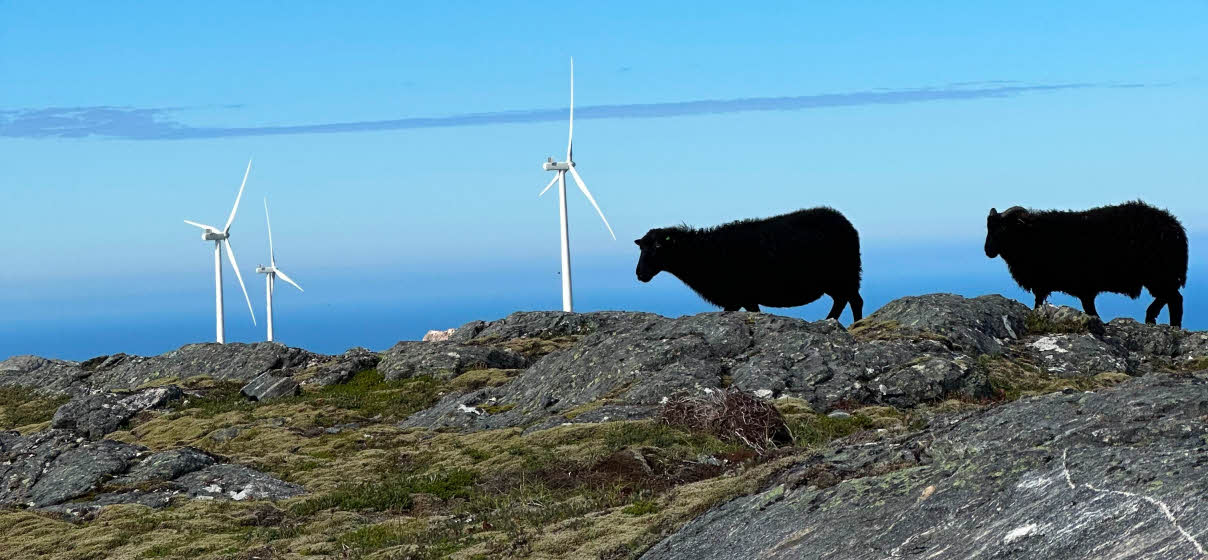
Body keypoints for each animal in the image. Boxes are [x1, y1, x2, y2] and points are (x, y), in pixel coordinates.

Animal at [637, 205, 864, 321]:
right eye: (641, 248)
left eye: (658, 246)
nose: (640, 274)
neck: (704, 252)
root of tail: (846, 222)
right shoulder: (742, 298)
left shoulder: (739, 296)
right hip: (836, 280)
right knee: (842, 300)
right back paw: (830, 321)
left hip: (844, 274)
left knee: (854, 301)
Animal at [980, 199, 1188, 325]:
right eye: (988, 227)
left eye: (1003, 228)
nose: (987, 251)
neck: (1030, 235)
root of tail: (1175, 227)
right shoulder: (1051, 285)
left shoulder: (1082, 286)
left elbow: (1089, 310)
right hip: (1160, 275)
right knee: (1170, 298)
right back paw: (1156, 320)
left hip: (1159, 273)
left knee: (1174, 299)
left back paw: (1163, 322)